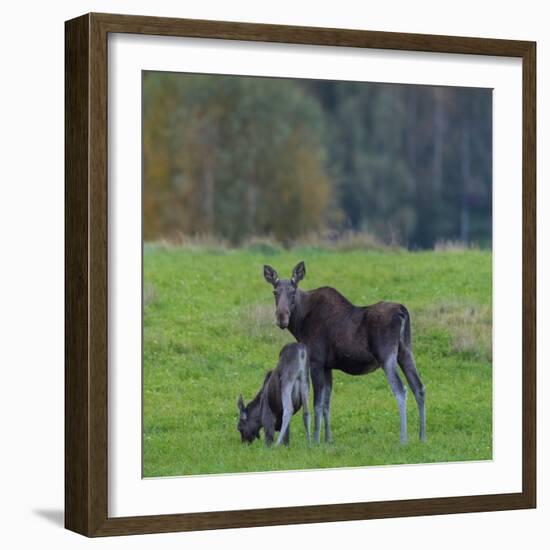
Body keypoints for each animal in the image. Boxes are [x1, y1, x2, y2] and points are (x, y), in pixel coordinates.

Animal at [266, 260, 430, 446]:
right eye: (275, 292)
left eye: (293, 292)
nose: (281, 317)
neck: (300, 322)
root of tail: (402, 311)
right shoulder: (328, 366)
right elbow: (327, 404)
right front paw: (328, 439)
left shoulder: (316, 362)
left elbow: (317, 404)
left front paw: (315, 441)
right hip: (406, 352)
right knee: (419, 387)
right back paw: (422, 437)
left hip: (387, 356)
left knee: (401, 390)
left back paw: (403, 439)